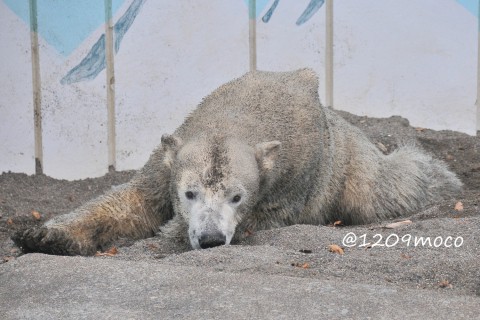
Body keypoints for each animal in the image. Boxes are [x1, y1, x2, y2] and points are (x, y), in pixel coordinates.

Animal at [11, 69, 462, 255]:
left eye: (237, 197)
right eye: (189, 192)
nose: (211, 239)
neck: (241, 111)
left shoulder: (293, 177)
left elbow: (262, 216)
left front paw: (170, 235)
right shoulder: (166, 160)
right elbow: (129, 200)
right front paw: (43, 235)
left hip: (350, 162)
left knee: (387, 185)